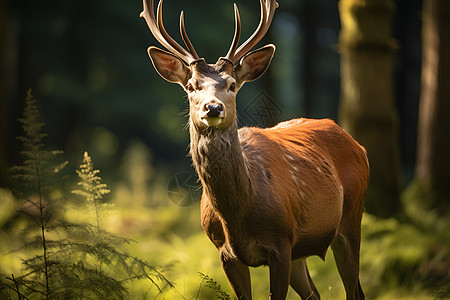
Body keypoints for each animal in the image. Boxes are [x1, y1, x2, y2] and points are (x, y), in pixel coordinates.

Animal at [141, 0, 370, 298]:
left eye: (232, 85)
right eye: (191, 86)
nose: (213, 108)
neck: (237, 215)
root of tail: (358, 145)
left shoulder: (280, 243)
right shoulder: (226, 253)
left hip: (352, 218)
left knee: (355, 290)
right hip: (302, 250)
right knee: (315, 293)